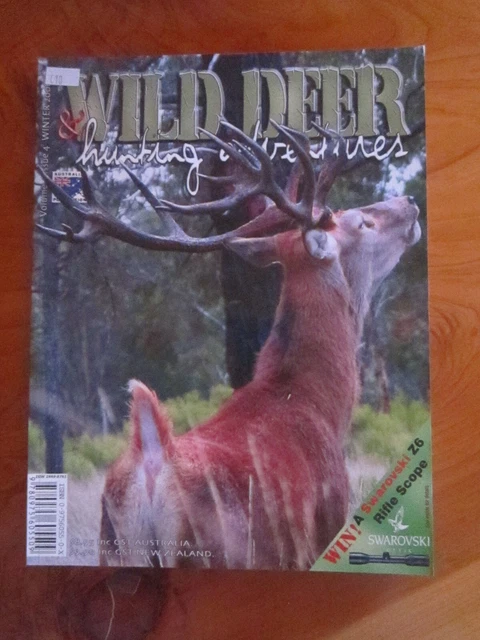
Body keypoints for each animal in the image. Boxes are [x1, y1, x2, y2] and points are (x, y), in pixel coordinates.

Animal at [37, 120, 421, 570]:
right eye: (361, 222)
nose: (411, 202)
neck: (315, 404)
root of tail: (152, 464)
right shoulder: (322, 530)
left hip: (112, 549)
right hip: (215, 555)